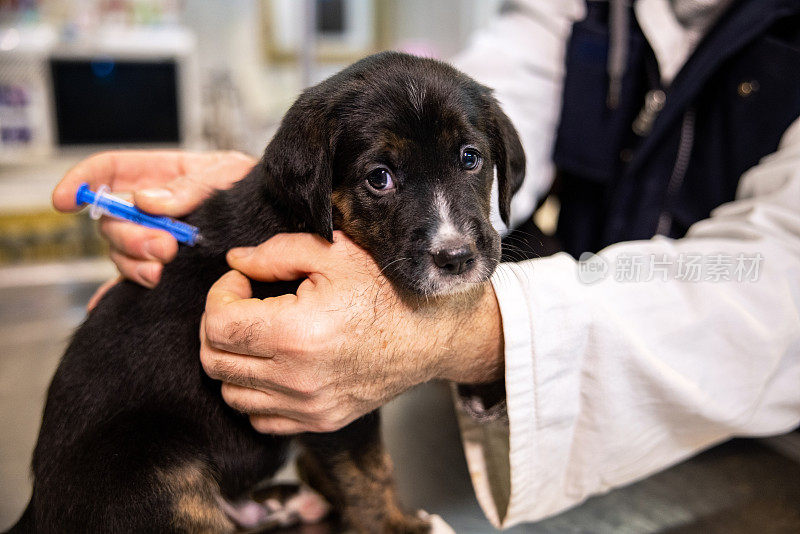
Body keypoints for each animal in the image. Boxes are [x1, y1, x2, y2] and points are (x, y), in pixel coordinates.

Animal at [12, 51, 528, 534]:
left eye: (470, 158)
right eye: (379, 178)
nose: (456, 258)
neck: (296, 217)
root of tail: (36, 510)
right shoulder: (332, 412)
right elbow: (369, 471)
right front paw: (397, 525)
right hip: (155, 470)